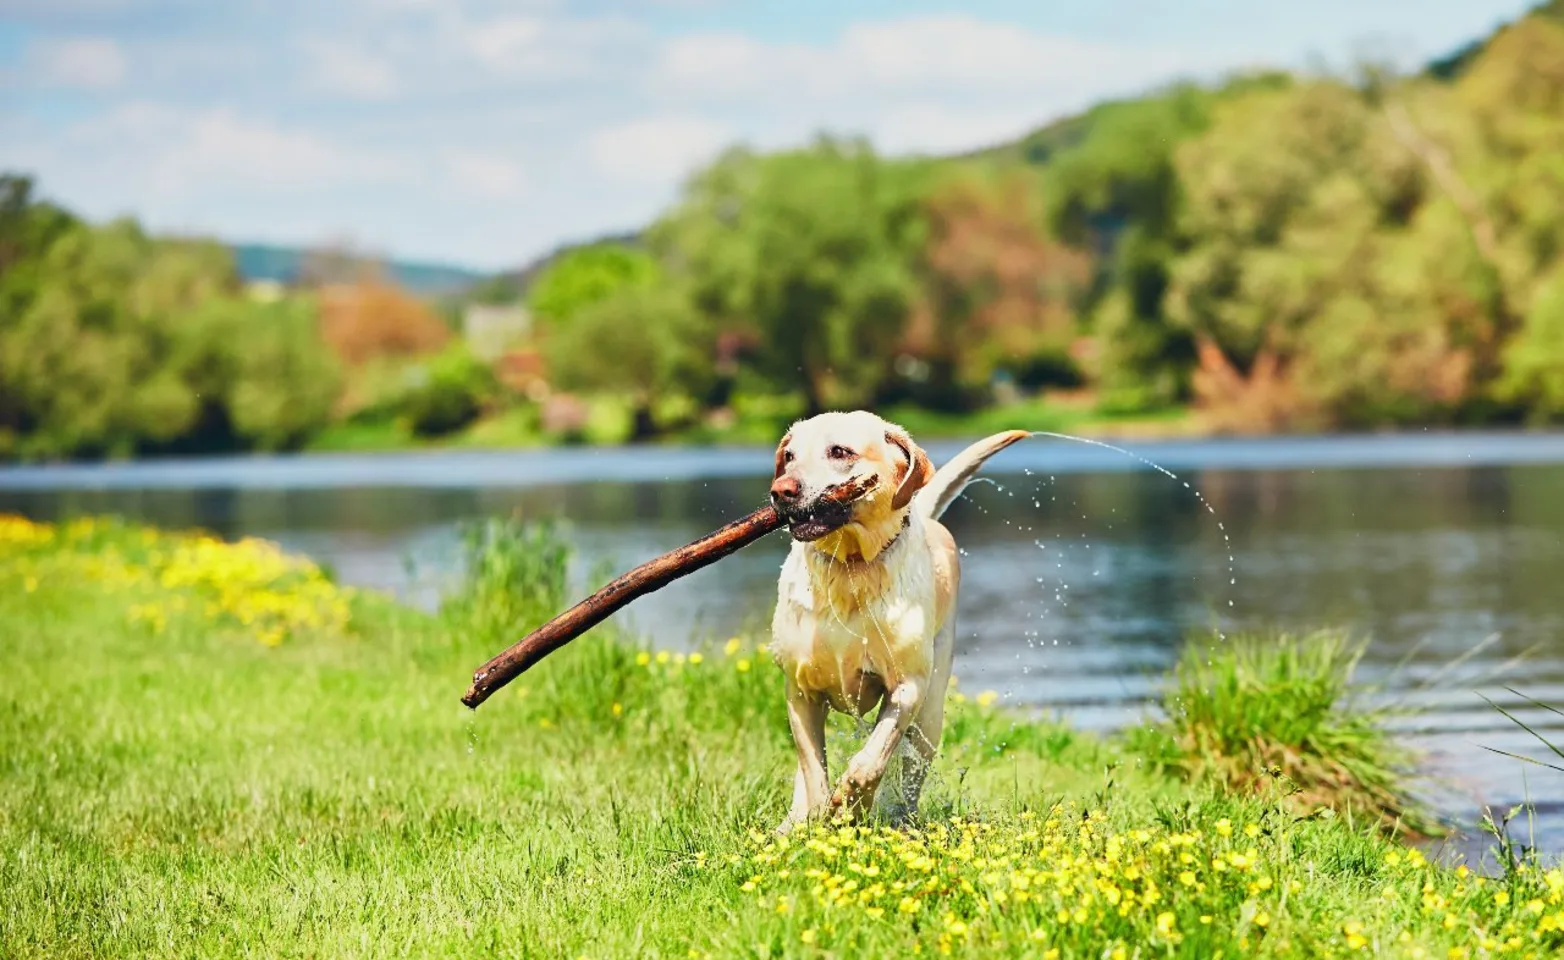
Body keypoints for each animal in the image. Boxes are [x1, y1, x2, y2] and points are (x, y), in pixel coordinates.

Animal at [766, 409, 1025, 831]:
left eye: (839, 451)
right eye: (788, 456)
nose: (781, 490)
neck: (851, 568)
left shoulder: (908, 688)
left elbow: (872, 758)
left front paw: (852, 804)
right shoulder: (800, 692)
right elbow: (812, 769)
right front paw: (816, 817)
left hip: (931, 713)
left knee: (911, 771)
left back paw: (902, 819)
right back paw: (791, 824)